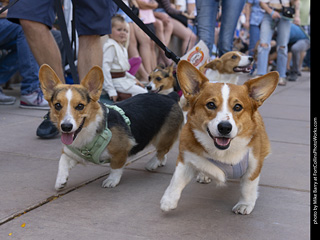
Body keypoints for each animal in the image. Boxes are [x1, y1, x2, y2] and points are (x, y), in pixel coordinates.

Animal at [38, 64, 184, 190]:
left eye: (80, 106)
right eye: (57, 105)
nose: (66, 127)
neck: (86, 133)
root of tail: (170, 97)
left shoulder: (121, 151)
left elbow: (116, 167)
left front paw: (111, 180)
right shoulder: (72, 153)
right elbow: (62, 162)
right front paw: (60, 181)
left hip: (163, 136)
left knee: (162, 150)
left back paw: (153, 163)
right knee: (163, 150)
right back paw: (160, 162)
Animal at [161, 61, 278, 215]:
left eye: (238, 107)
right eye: (211, 104)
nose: (225, 127)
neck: (223, 153)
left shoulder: (254, 164)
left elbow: (248, 187)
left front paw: (245, 204)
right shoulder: (186, 159)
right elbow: (176, 181)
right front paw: (168, 201)